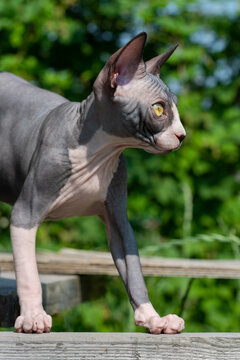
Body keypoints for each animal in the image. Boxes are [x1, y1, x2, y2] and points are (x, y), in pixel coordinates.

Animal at [0, 32, 186, 334]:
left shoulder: (118, 219)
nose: (183, 135)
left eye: (176, 107)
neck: (99, 153)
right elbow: (29, 273)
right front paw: (33, 316)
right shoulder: (24, 214)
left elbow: (135, 272)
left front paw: (153, 318)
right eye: (159, 109)